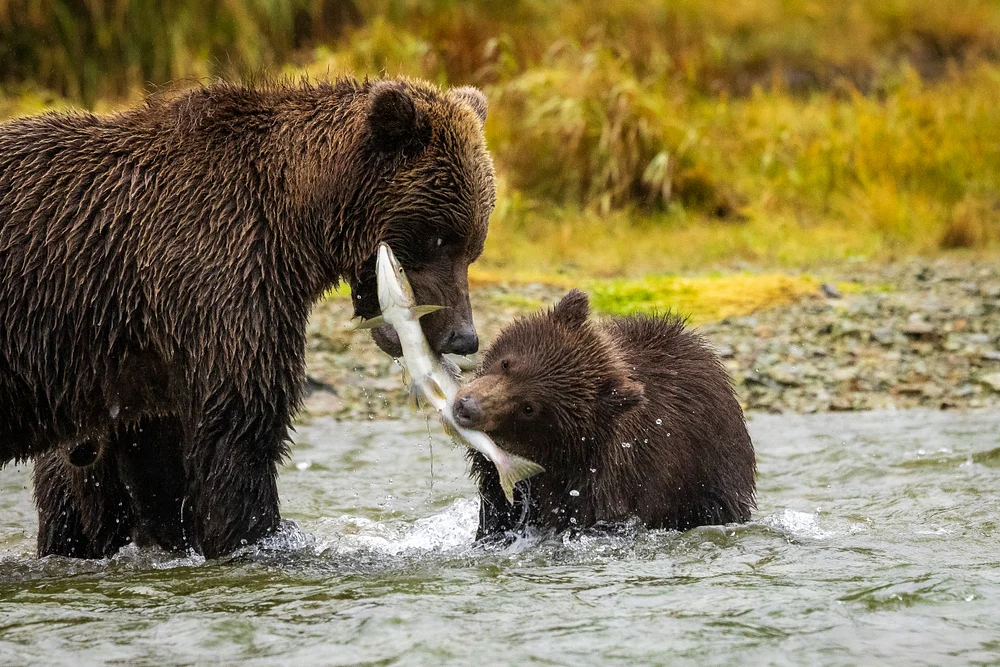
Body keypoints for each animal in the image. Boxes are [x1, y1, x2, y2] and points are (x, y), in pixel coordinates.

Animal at [0, 76, 495, 558]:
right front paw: (254, 533)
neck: (295, 223)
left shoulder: (142, 365)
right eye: (439, 238)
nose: (464, 337)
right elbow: (241, 420)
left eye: (473, 246)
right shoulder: (220, 277)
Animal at [452, 290, 756, 540]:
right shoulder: (501, 482)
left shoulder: (608, 479)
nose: (467, 407)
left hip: (709, 476)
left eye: (529, 407)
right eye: (507, 364)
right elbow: (498, 516)